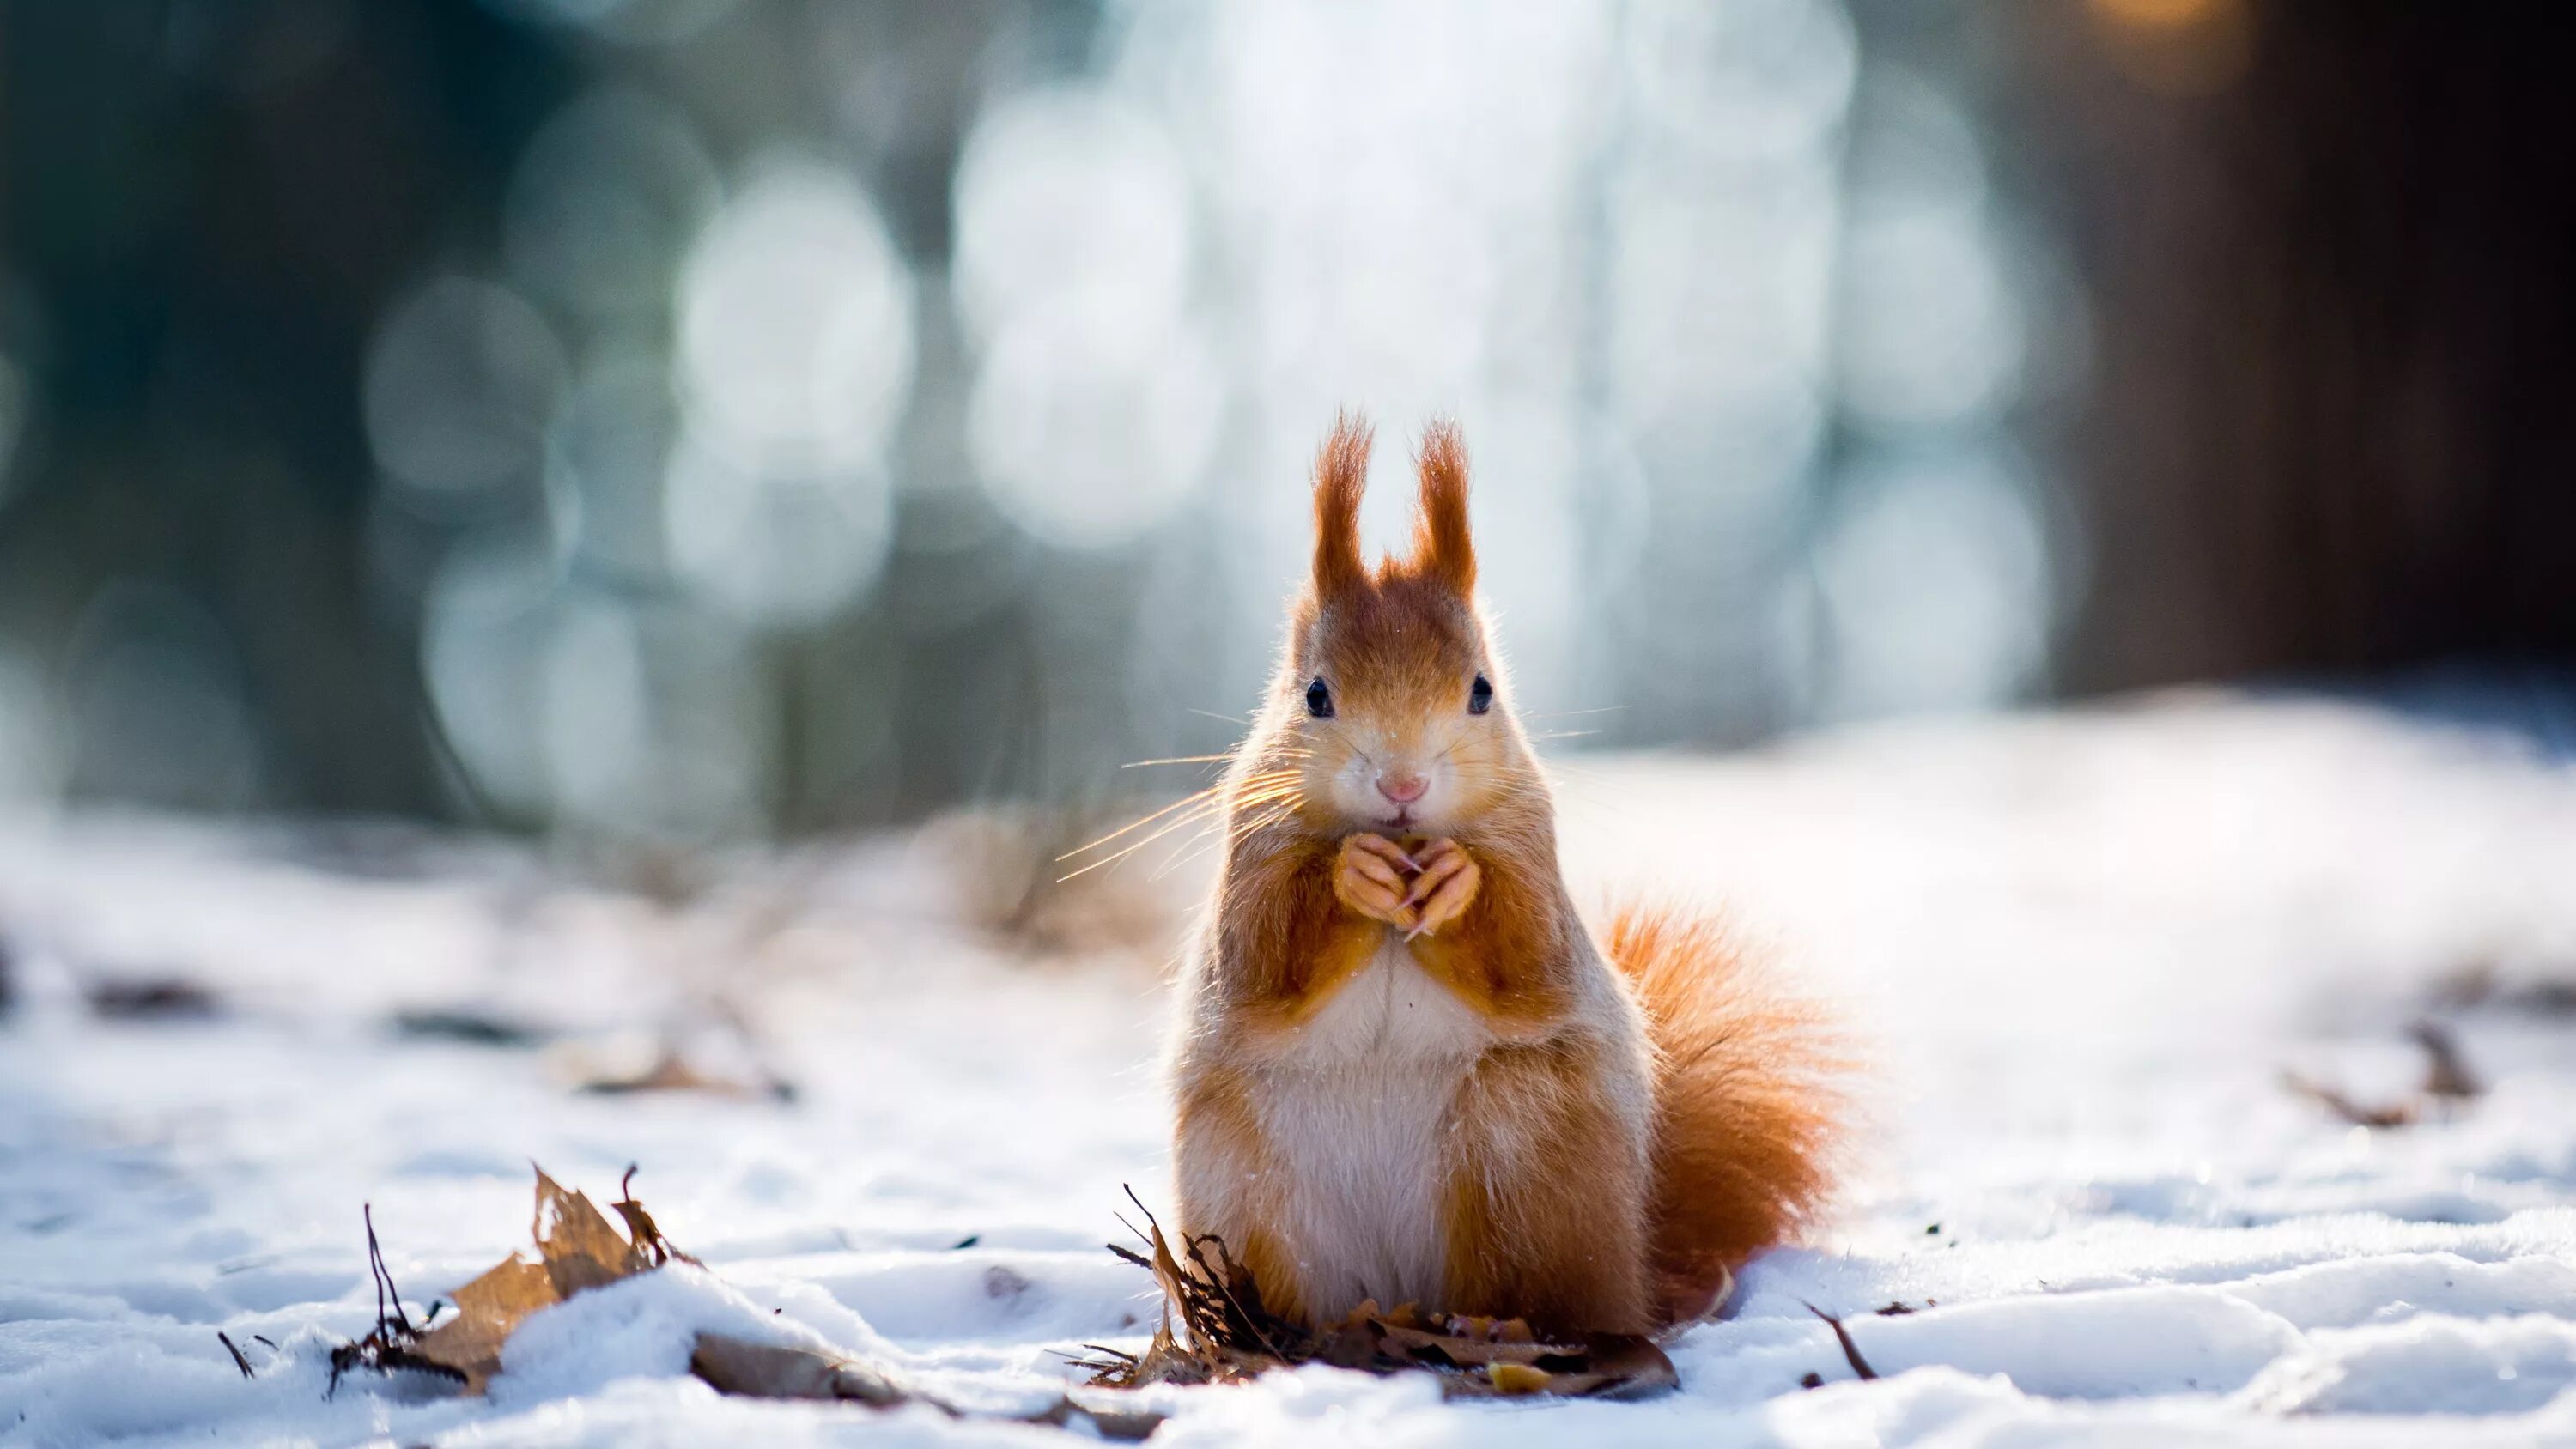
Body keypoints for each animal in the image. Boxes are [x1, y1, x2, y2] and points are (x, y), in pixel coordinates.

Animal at [1180, 411, 1844, 1338]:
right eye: (1314, 695)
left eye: (1482, 691)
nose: (1402, 787)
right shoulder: (1250, 857)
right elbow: (1265, 958)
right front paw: (1353, 873)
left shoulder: (1535, 857)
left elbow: (1525, 953)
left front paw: (1458, 883)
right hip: (1247, 1191)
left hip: (1523, 1151)